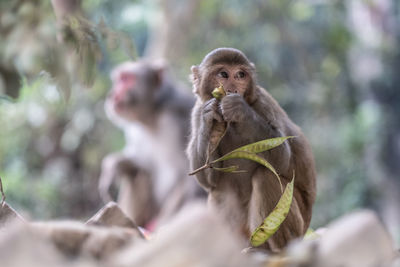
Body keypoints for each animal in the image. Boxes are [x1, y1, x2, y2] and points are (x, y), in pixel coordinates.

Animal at [98, 60, 206, 230]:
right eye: (119, 79)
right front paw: (114, 164)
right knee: (139, 172)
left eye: (127, 79)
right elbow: (140, 160)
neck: (153, 114)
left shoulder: (178, 120)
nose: (112, 94)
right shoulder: (136, 130)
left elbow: (190, 176)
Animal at [187, 47, 316, 251]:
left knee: (266, 176)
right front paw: (210, 117)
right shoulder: (198, 109)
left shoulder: (263, 103)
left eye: (240, 75)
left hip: (297, 228)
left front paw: (239, 109)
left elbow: (282, 157)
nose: (232, 89)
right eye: (223, 74)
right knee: (218, 191)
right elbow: (207, 179)